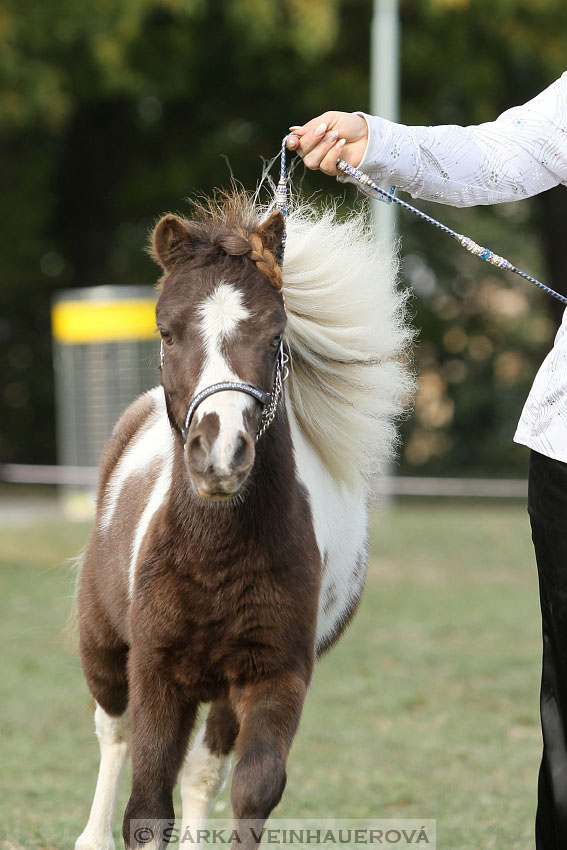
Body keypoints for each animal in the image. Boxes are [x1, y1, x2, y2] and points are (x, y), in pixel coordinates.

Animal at [74, 192, 412, 848]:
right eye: (166, 330)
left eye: (276, 333)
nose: (221, 452)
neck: (215, 555)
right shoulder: (156, 670)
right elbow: (146, 803)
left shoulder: (274, 675)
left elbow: (252, 789)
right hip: (101, 644)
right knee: (113, 734)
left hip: (224, 693)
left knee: (202, 772)